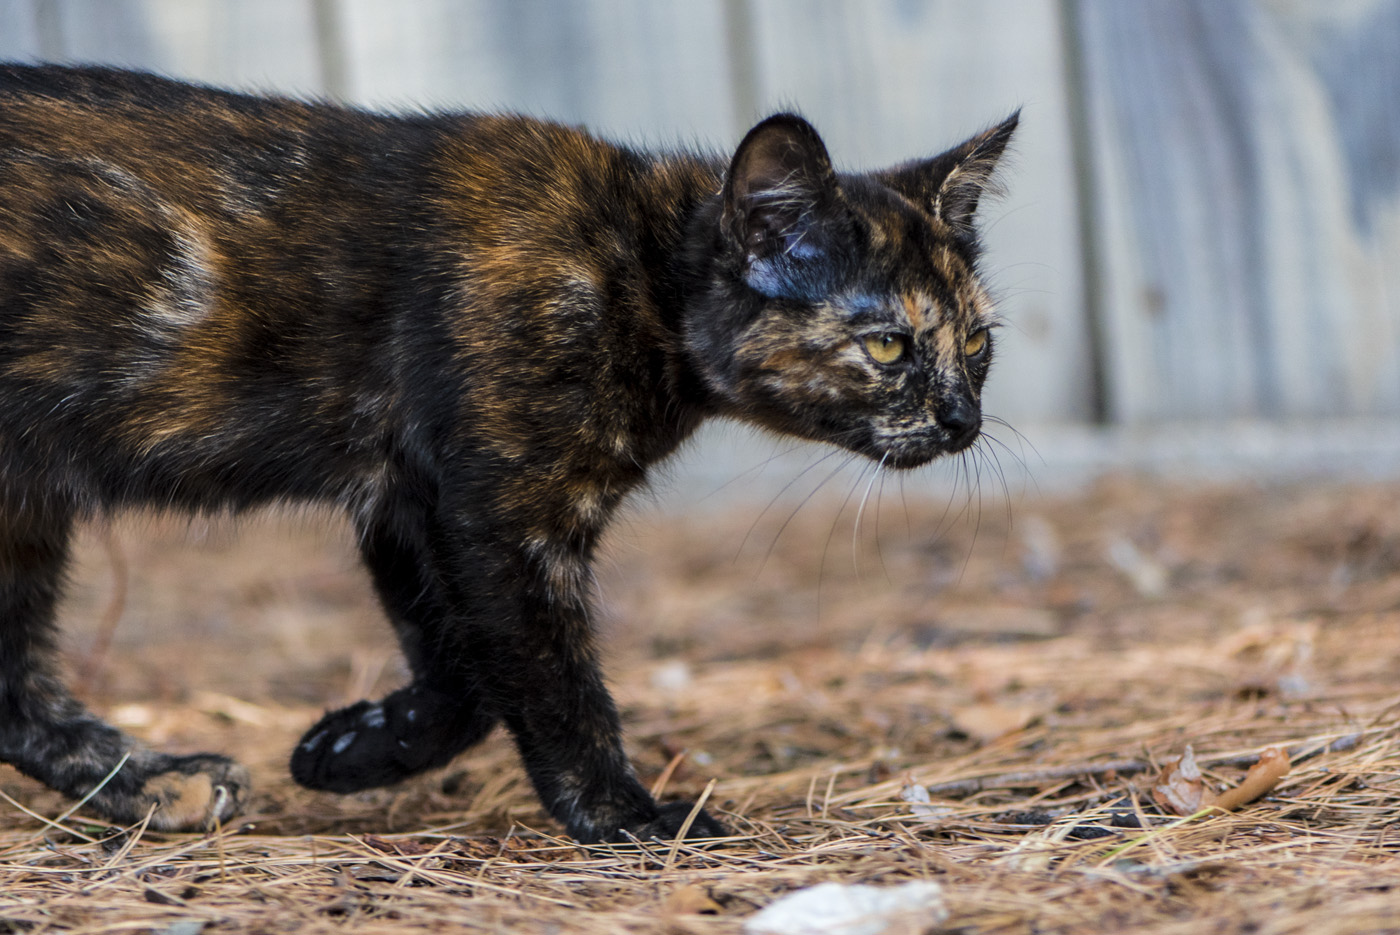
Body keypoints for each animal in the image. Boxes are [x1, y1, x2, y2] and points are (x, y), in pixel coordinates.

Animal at [0, 61, 1013, 845]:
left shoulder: (410, 500)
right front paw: (623, 815)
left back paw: (155, 783)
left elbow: (464, 676)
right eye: (889, 345)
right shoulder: (501, 515)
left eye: (977, 342)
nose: (963, 419)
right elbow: (551, 681)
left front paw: (361, 746)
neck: (634, 268)